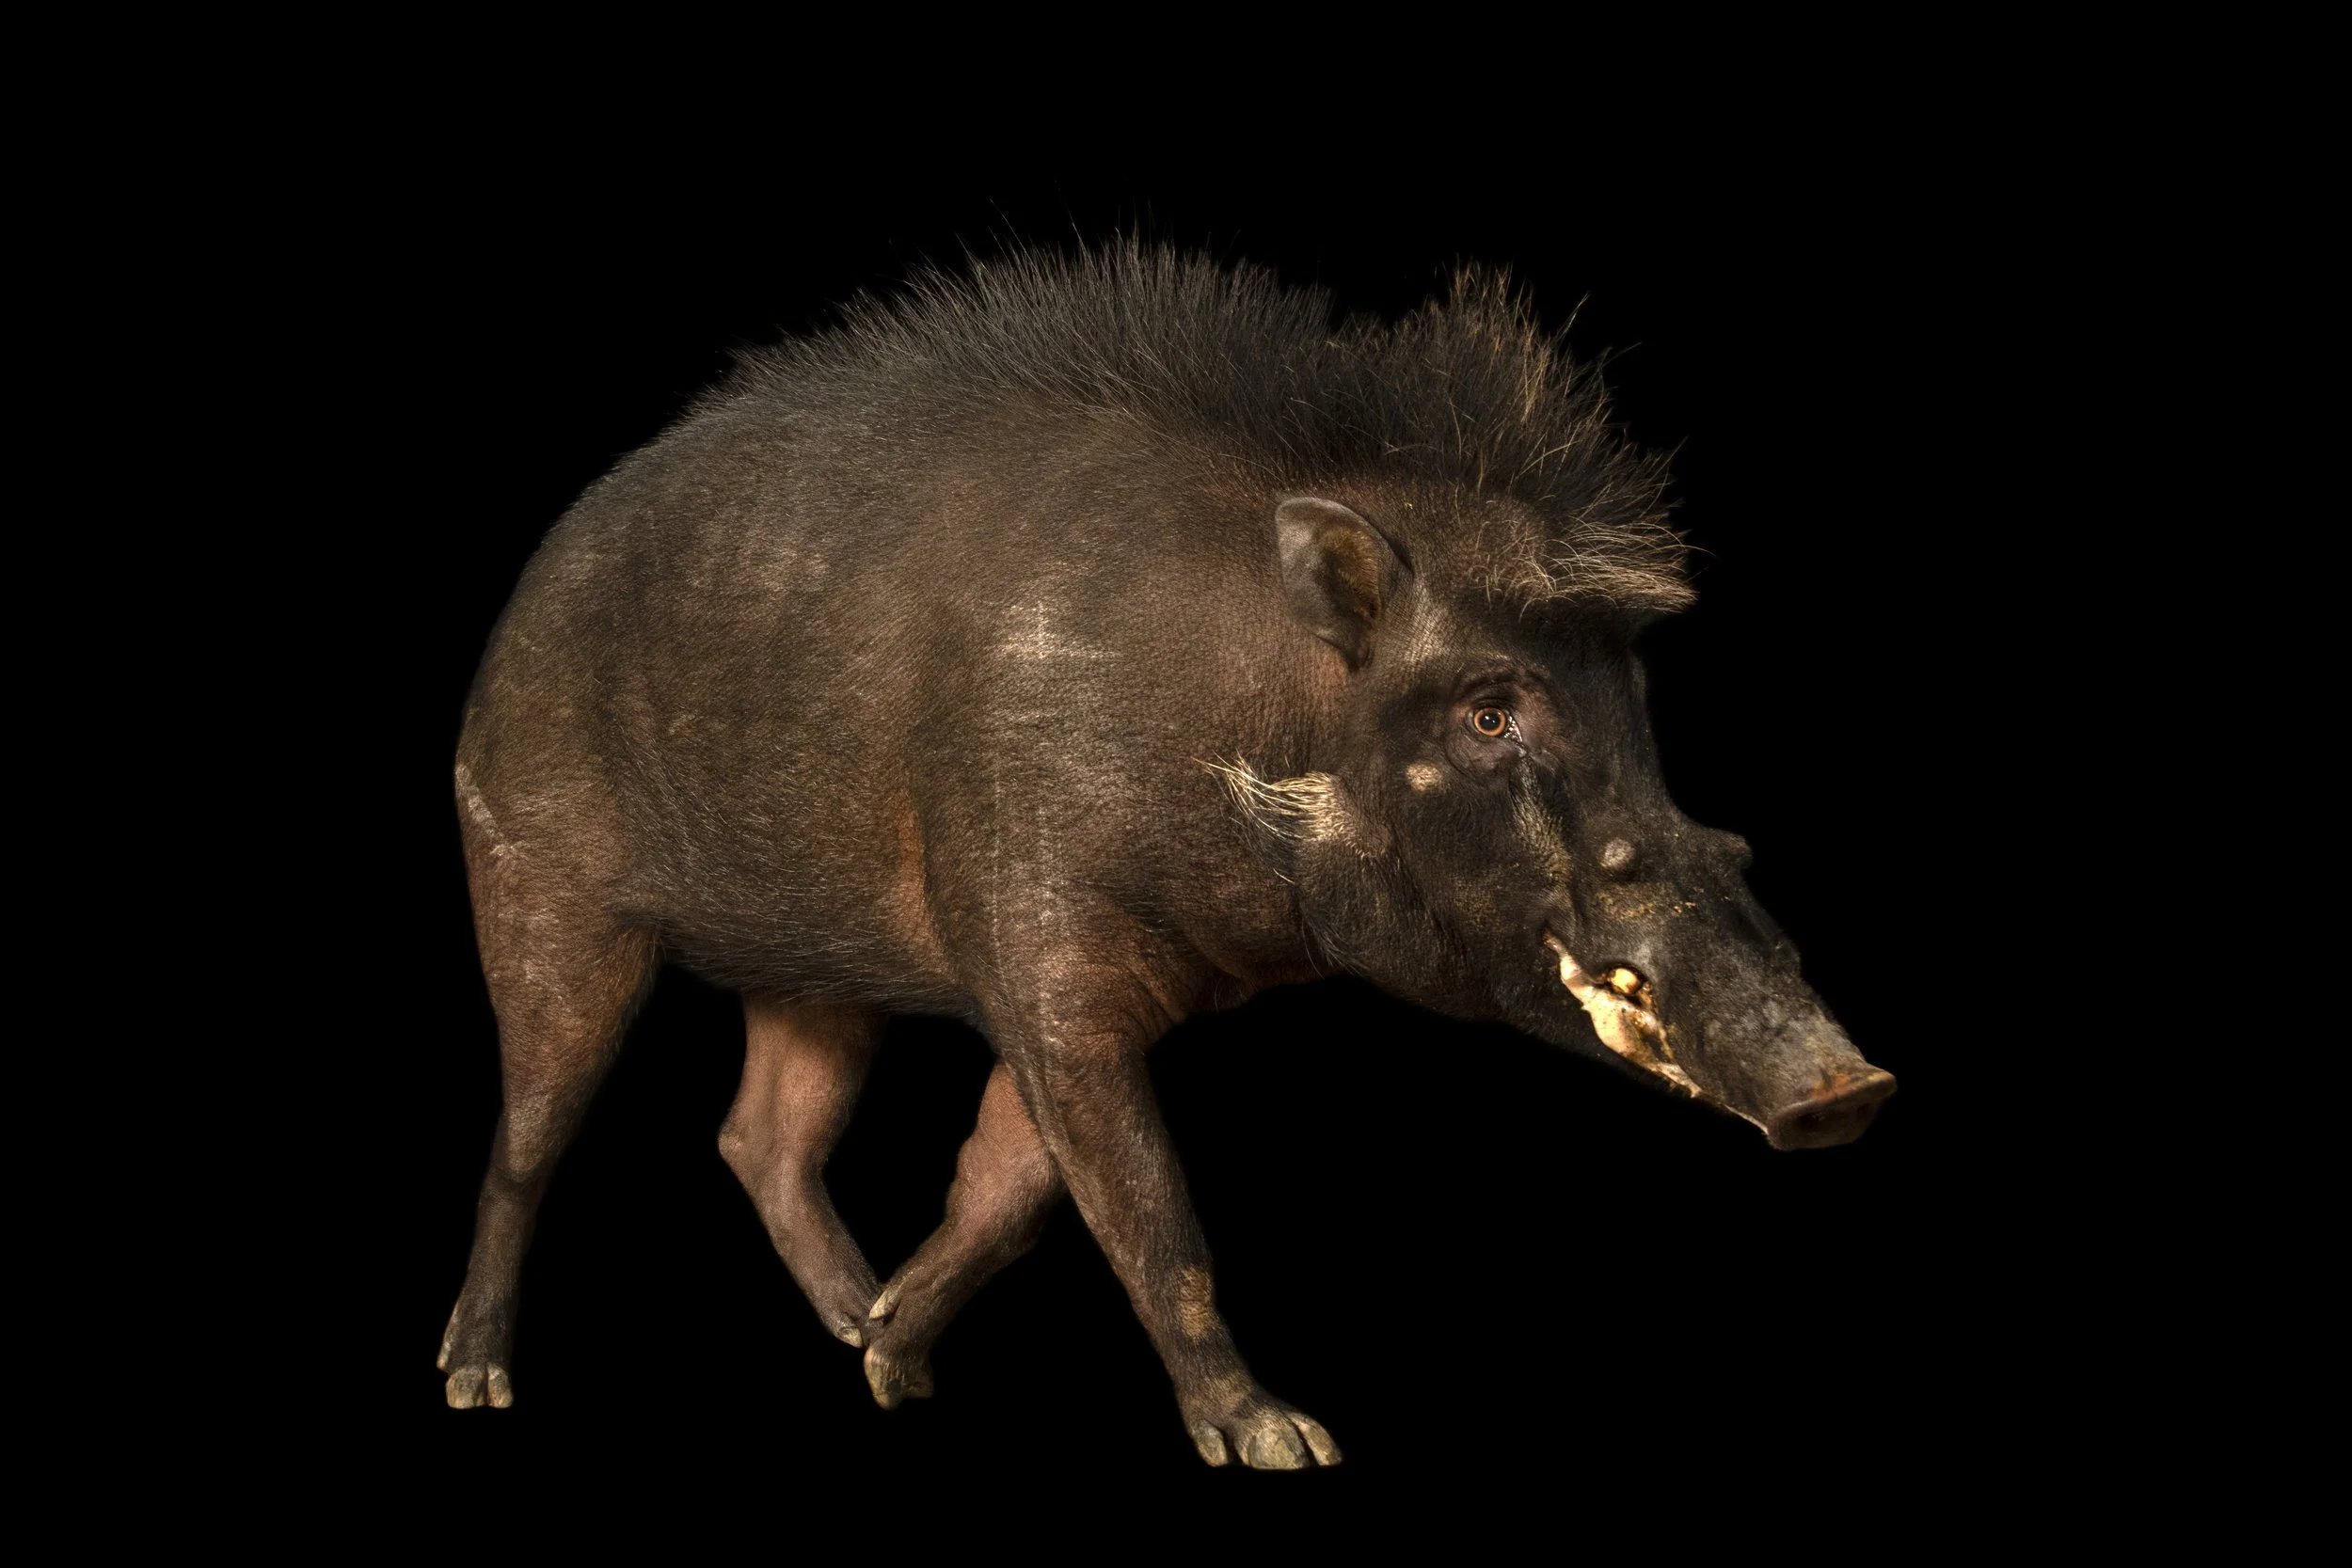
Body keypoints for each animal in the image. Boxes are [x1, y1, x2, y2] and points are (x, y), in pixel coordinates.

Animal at [439, 243, 1895, 1466]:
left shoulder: (1079, 988)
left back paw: (855, 1325)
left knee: (760, 1135)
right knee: (531, 1130)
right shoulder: (1041, 950)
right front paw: (1289, 1444)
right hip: (534, 880)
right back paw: (476, 1383)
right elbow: (1144, 1202)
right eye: (1488, 711)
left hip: (816, 969)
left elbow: (1018, 1186)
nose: (1850, 1087)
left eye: (1637, 706)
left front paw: (896, 1360)